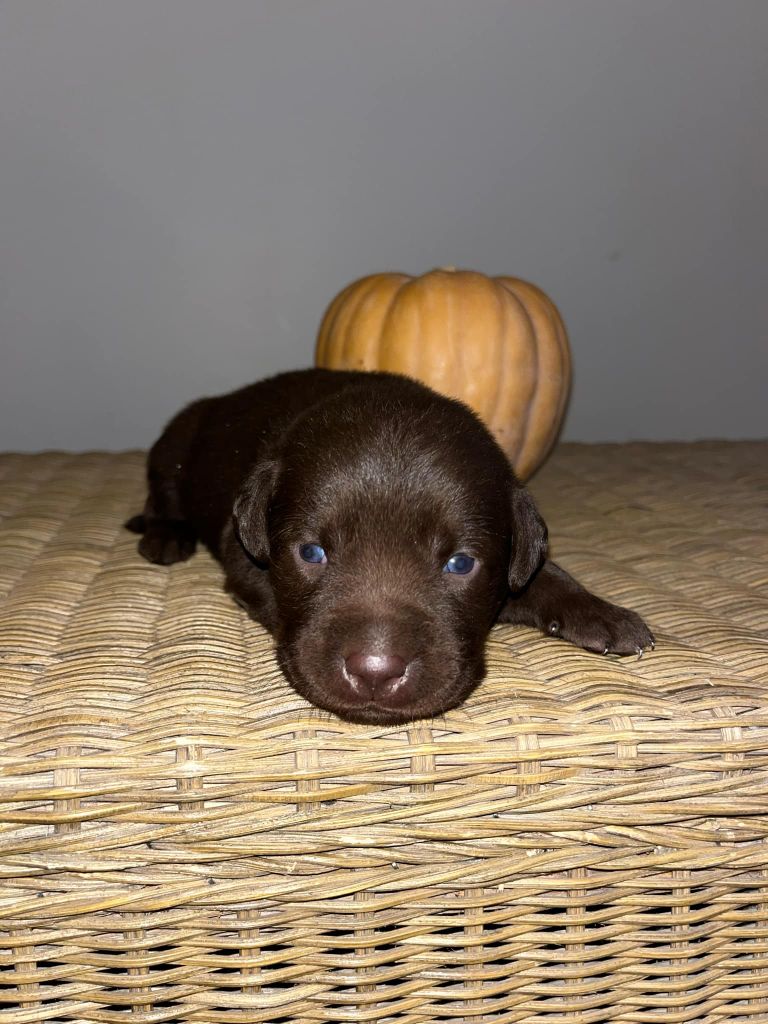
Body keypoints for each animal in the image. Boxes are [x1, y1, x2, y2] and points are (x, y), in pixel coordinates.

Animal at [128, 372, 655, 724]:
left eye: (460, 563)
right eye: (311, 554)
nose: (375, 674)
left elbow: (536, 575)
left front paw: (598, 612)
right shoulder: (242, 553)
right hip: (174, 448)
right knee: (162, 493)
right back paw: (165, 534)